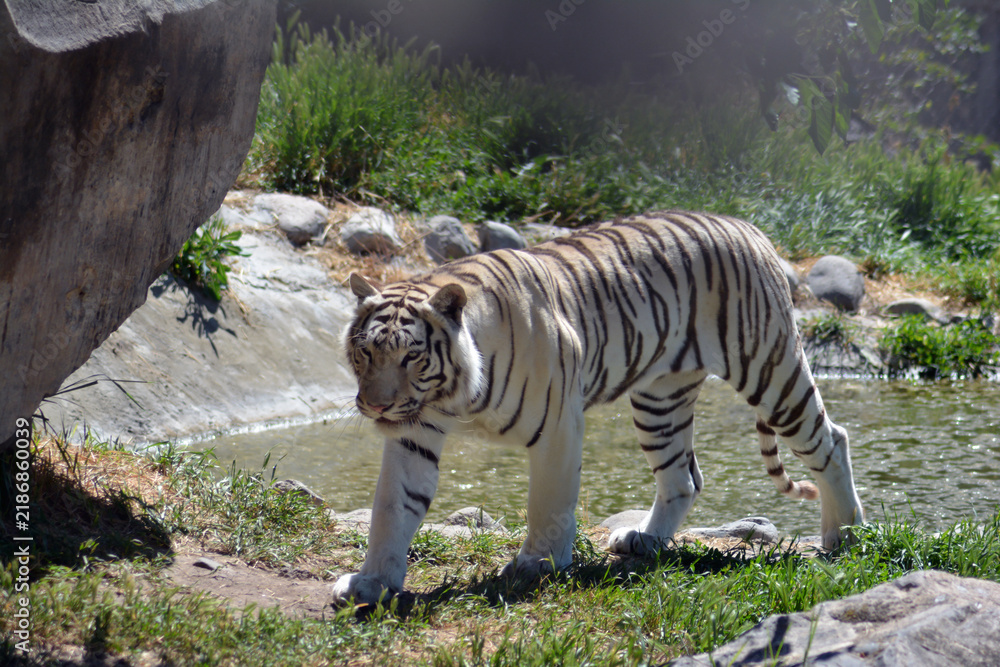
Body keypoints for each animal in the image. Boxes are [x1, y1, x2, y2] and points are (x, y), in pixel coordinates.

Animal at [331, 211, 864, 606]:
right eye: (365, 352)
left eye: (411, 356)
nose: (376, 405)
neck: (454, 395)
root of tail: (747, 226)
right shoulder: (413, 432)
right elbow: (392, 507)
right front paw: (371, 582)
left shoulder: (557, 425)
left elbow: (547, 502)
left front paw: (537, 564)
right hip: (660, 400)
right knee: (683, 478)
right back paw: (644, 540)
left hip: (767, 368)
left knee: (831, 440)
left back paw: (847, 537)